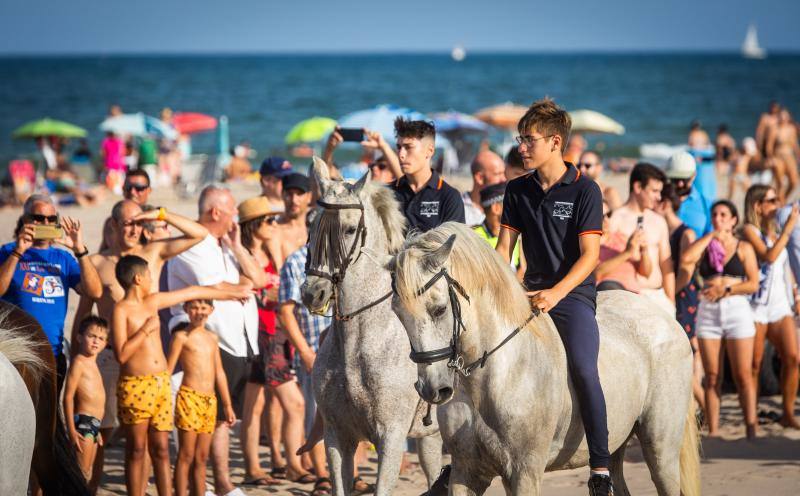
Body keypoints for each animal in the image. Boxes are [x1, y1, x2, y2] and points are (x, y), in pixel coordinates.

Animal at [384, 224, 696, 496]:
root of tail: (668, 319)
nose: (433, 389)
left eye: (438, 309)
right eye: (398, 313)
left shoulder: (525, 472)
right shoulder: (466, 472)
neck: (495, 376)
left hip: (660, 450)